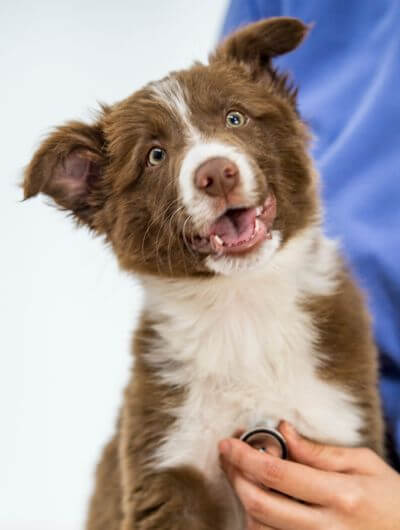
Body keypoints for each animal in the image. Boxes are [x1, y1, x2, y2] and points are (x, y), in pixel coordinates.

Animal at [22, 16, 384, 528]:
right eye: (155, 156)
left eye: (235, 118)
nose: (216, 174)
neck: (242, 303)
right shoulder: (166, 463)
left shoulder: (335, 428)